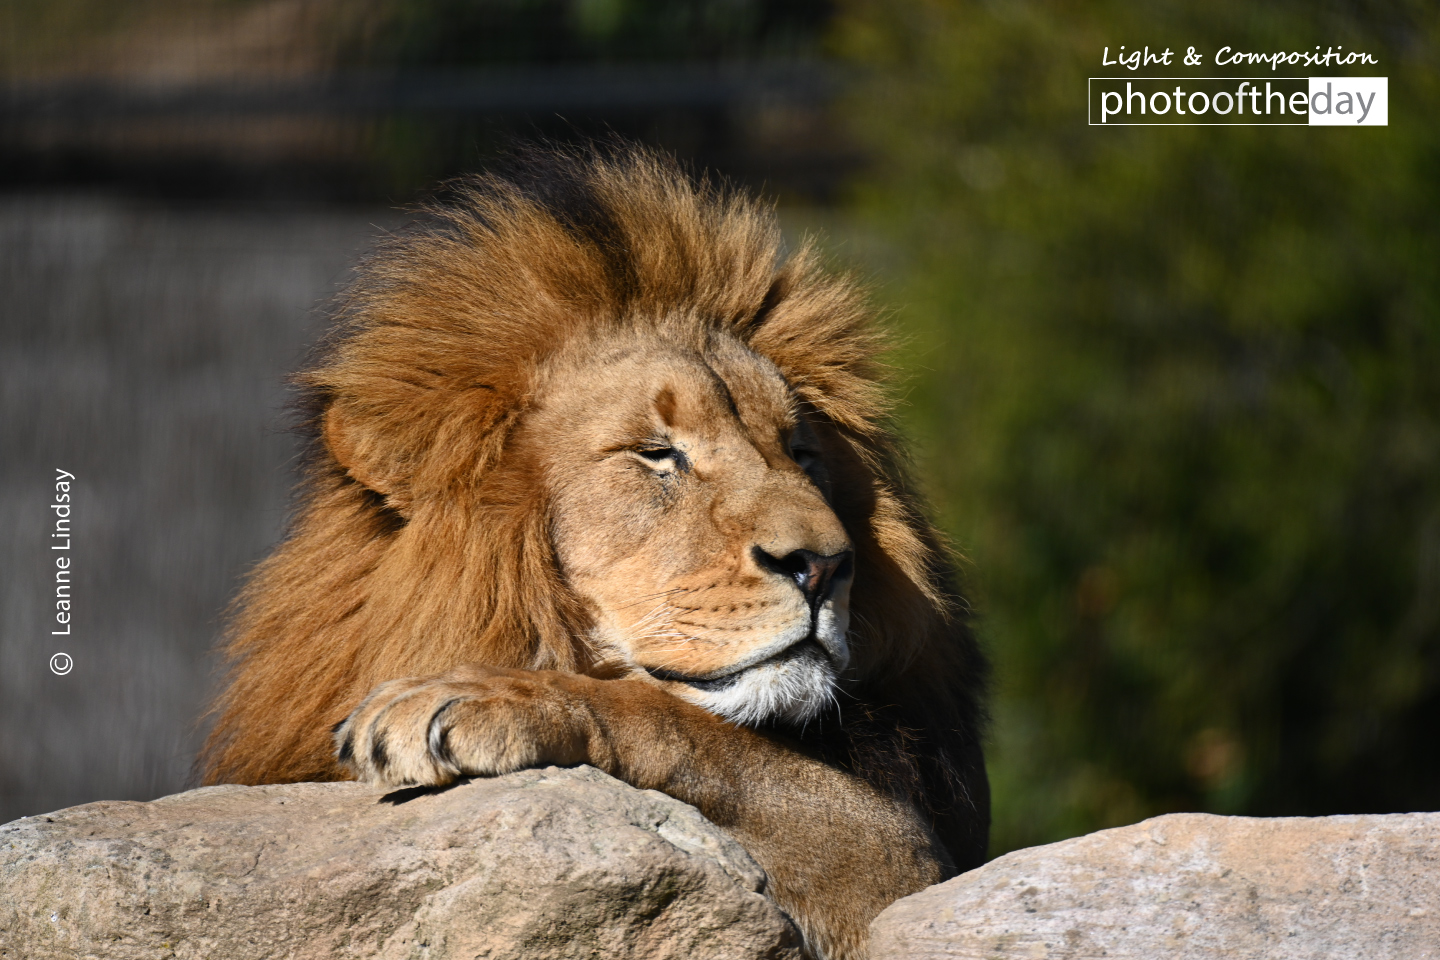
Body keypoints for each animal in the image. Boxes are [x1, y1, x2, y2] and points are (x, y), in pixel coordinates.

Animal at [200, 144, 990, 960]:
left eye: (799, 454)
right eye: (657, 454)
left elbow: (682, 722)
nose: (826, 566)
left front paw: (480, 696)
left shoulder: (906, 853)